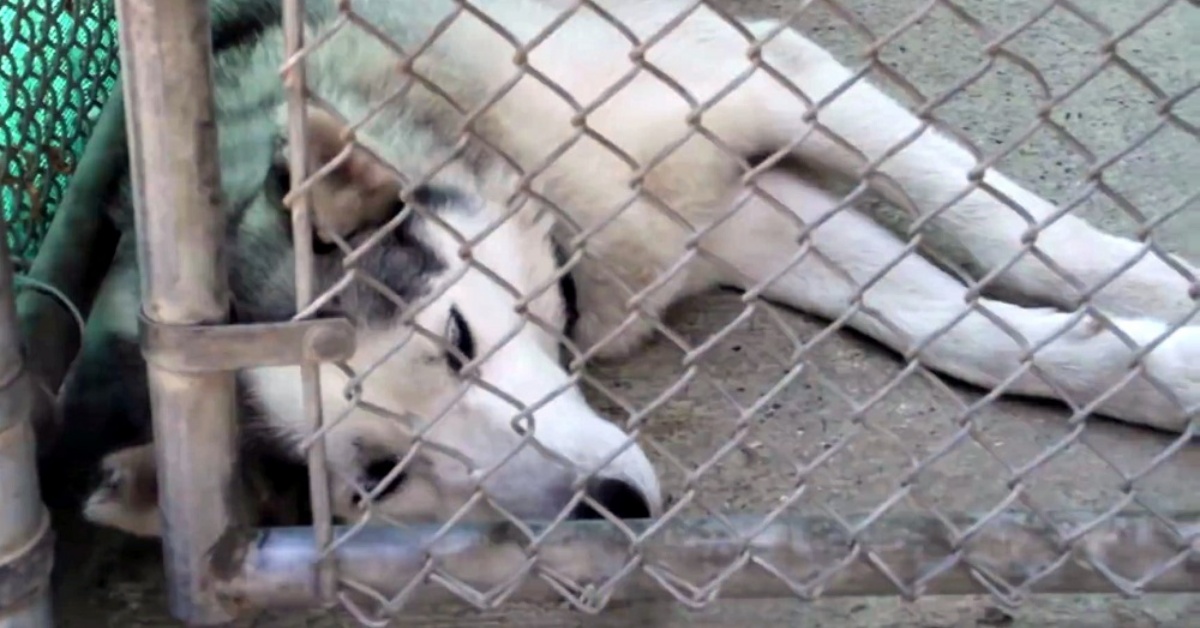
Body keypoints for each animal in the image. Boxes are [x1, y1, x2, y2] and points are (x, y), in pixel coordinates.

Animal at [46, 0, 1200, 559]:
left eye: (460, 338)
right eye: (381, 476)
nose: (613, 508)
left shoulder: (761, 81)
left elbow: (991, 218)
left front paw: (1152, 287)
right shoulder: (749, 223)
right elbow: (952, 326)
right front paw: (1158, 371)